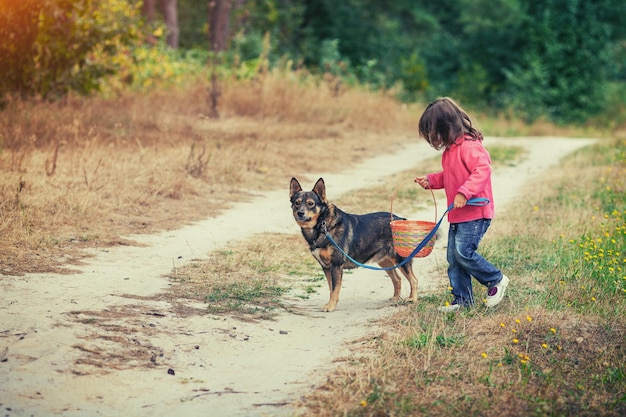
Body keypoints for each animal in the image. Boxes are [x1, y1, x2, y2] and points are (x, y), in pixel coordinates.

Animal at [288, 176, 416, 312]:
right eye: (297, 203)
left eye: (311, 204)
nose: (300, 213)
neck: (322, 225)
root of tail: (401, 219)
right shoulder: (326, 267)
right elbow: (331, 288)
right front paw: (332, 303)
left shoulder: (336, 265)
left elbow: (334, 289)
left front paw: (331, 306)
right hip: (385, 261)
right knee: (397, 279)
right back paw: (395, 298)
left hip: (400, 259)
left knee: (414, 280)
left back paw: (412, 299)